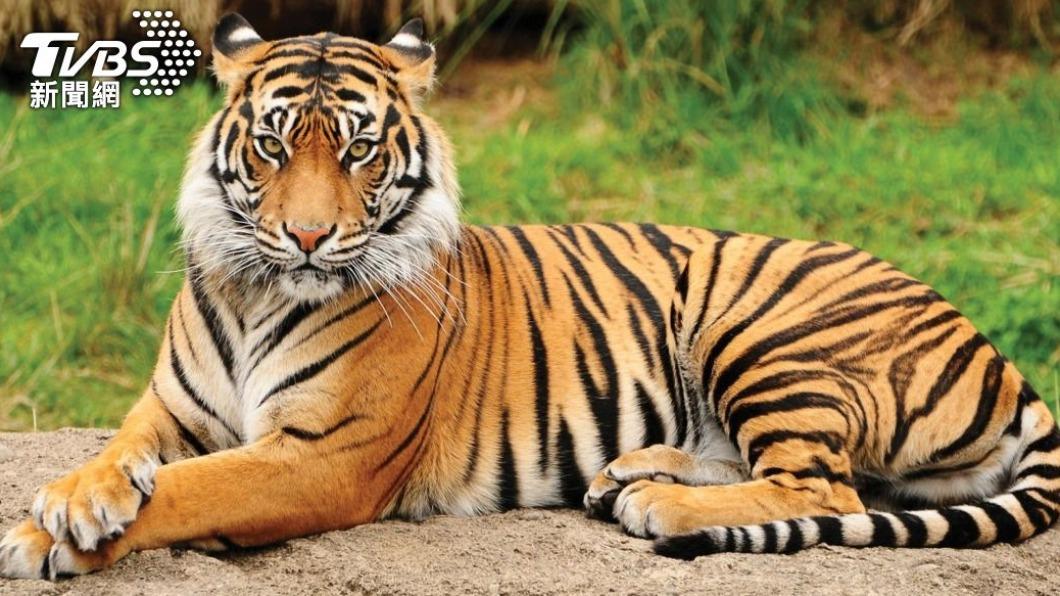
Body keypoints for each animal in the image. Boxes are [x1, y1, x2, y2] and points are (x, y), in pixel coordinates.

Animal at [2, 13, 1058, 580]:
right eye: (271, 145)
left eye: (357, 149)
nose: (306, 237)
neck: (260, 288)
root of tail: (999, 355)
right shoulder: (171, 409)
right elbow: (123, 455)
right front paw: (70, 499)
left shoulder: (322, 456)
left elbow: (190, 490)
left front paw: (44, 537)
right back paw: (632, 473)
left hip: (759, 325)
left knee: (824, 484)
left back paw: (656, 506)